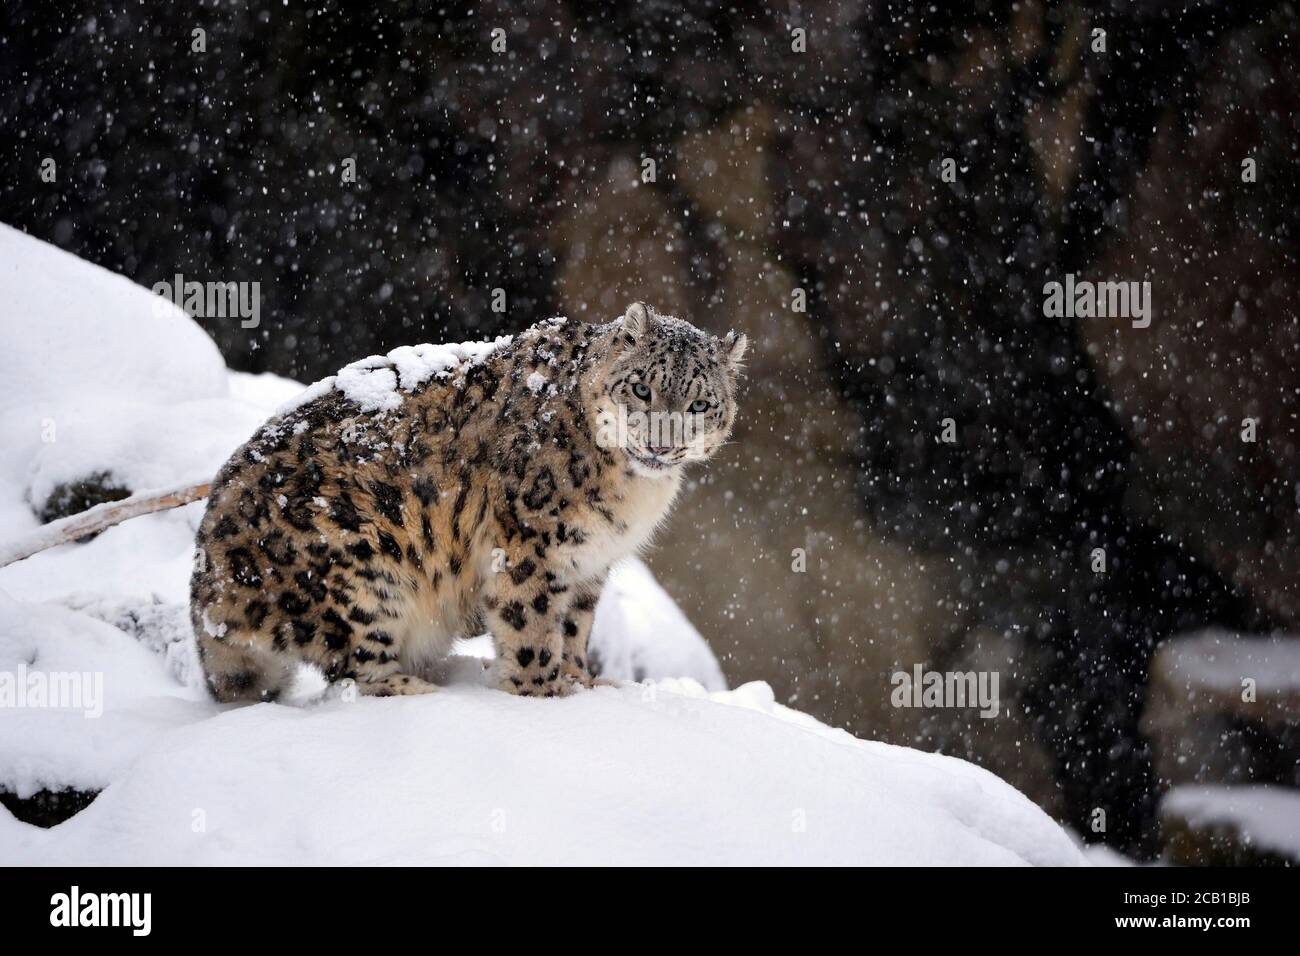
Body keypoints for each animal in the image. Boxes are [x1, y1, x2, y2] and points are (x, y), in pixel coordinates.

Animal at [189, 302, 747, 701]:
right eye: (642, 388)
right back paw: (421, 689)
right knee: (353, 668)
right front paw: (542, 692)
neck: (632, 491)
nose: (660, 444)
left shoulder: (589, 562)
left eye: (700, 403)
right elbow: (532, 623)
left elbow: (574, 626)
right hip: (358, 560)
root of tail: (206, 583)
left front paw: (582, 681)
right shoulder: (531, 543)